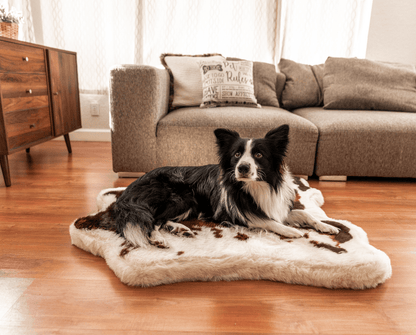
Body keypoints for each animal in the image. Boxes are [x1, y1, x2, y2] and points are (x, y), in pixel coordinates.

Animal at [113, 126, 338, 249]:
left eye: (259, 155)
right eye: (237, 155)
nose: (243, 168)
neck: (258, 185)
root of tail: (130, 188)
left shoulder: (277, 207)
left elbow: (305, 214)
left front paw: (326, 226)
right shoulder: (236, 214)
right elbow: (267, 221)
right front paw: (290, 231)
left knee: (162, 219)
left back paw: (181, 229)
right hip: (182, 196)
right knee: (152, 220)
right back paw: (159, 239)